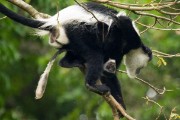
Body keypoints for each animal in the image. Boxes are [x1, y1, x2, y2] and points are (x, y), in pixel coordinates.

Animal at [0, 1, 153, 114]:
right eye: (143, 66)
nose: (138, 71)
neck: (131, 47)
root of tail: (55, 21)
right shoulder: (130, 35)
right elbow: (120, 21)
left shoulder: (119, 52)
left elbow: (108, 74)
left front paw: (121, 108)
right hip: (77, 31)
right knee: (95, 54)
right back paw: (91, 84)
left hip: (72, 39)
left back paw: (69, 63)